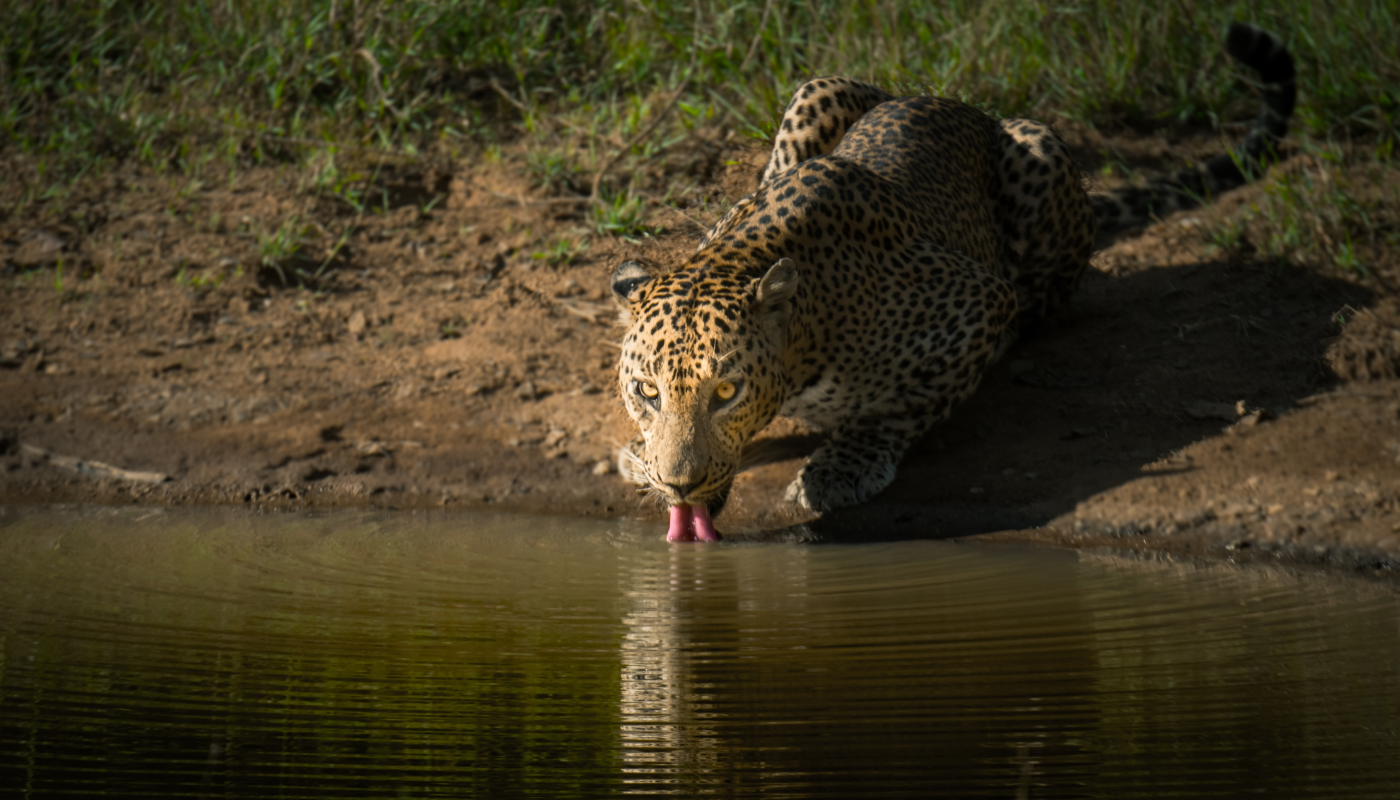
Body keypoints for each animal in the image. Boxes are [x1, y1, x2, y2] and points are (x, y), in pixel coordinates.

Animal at [607, 20, 1293, 543]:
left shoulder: (978, 303)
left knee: (1048, 297)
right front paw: (643, 463)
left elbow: (903, 403)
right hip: (817, 89)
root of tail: (951, 101)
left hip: (1039, 154)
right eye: (646, 391)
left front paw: (841, 467)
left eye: (726, 392)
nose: (679, 483)